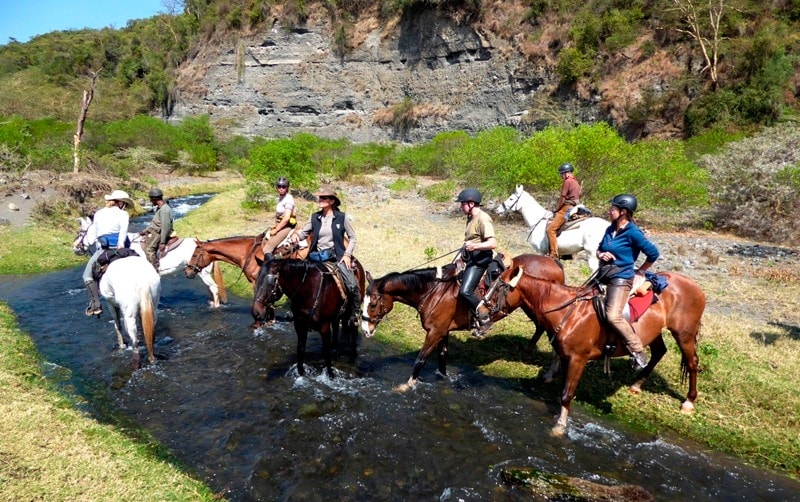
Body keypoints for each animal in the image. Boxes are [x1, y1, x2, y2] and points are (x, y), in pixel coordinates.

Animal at [360, 255, 564, 388]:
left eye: (373, 304)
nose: (365, 330)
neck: (434, 291)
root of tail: (555, 262)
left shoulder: (434, 332)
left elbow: (420, 360)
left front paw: (407, 386)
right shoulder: (443, 332)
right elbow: (442, 359)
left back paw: (548, 371)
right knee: (541, 328)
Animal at [506, 268, 708, 438]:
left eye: (501, 287)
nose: (489, 311)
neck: (569, 312)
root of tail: (697, 288)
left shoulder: (578, 359)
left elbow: (566, 394)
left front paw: (560, 427)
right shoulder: (566, 357)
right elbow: (563, 389)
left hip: (684, 334)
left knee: (692, 362)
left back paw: (689, 401)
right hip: (655, 331)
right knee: (659, 351)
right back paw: (637, 384)